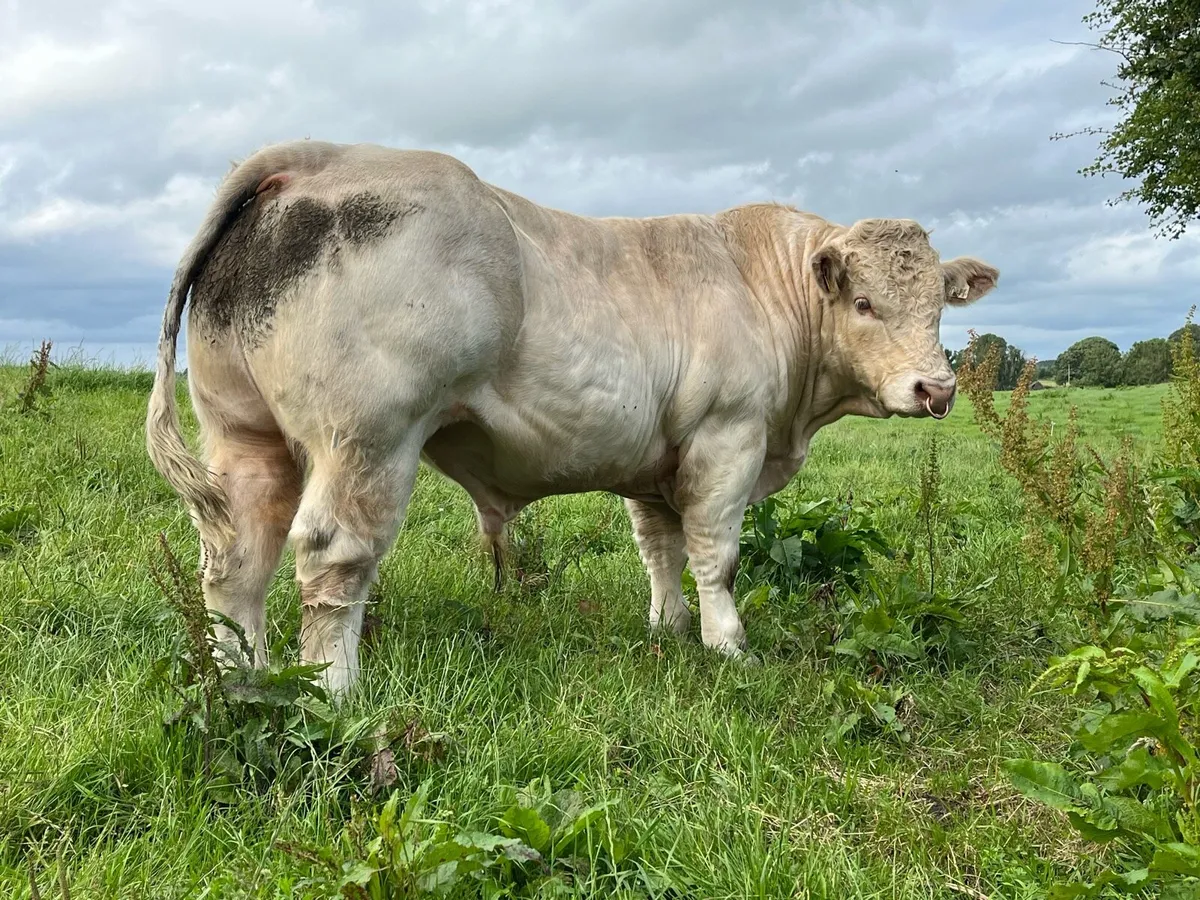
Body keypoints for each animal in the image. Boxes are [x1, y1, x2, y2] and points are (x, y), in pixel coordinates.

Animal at [145, 139, 998, 698]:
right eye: (865, 303)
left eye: (938, 305)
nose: (935, 388)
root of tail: (309, 159)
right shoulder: (729, 437)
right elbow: (717, 554)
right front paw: (729, 647)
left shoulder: (658, 459)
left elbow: (660, 549)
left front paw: (668, 627)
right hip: (369, 436)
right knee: (332, 556)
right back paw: (334, 691)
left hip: (245, 433)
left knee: (235, 559)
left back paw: (242, 679)